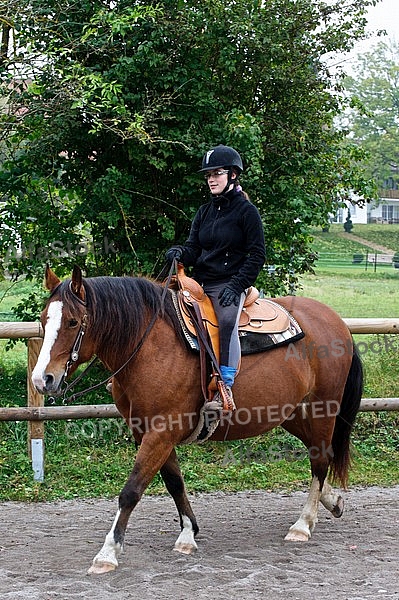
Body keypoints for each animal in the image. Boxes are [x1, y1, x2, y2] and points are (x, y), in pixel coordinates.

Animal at [32, 266, 362, 572]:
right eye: (44, 319)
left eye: (73, 321)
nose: (42, 379)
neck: (149, 346)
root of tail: (335, 321)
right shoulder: (147, 432)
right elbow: (174, 483)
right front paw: (188, 534)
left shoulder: (162, 432)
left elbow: (131, 491)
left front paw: (107, 553)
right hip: (291, 413)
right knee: (320, 454)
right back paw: (332, 501)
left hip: (322, 409)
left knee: (320, 459)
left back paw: (303, 524)